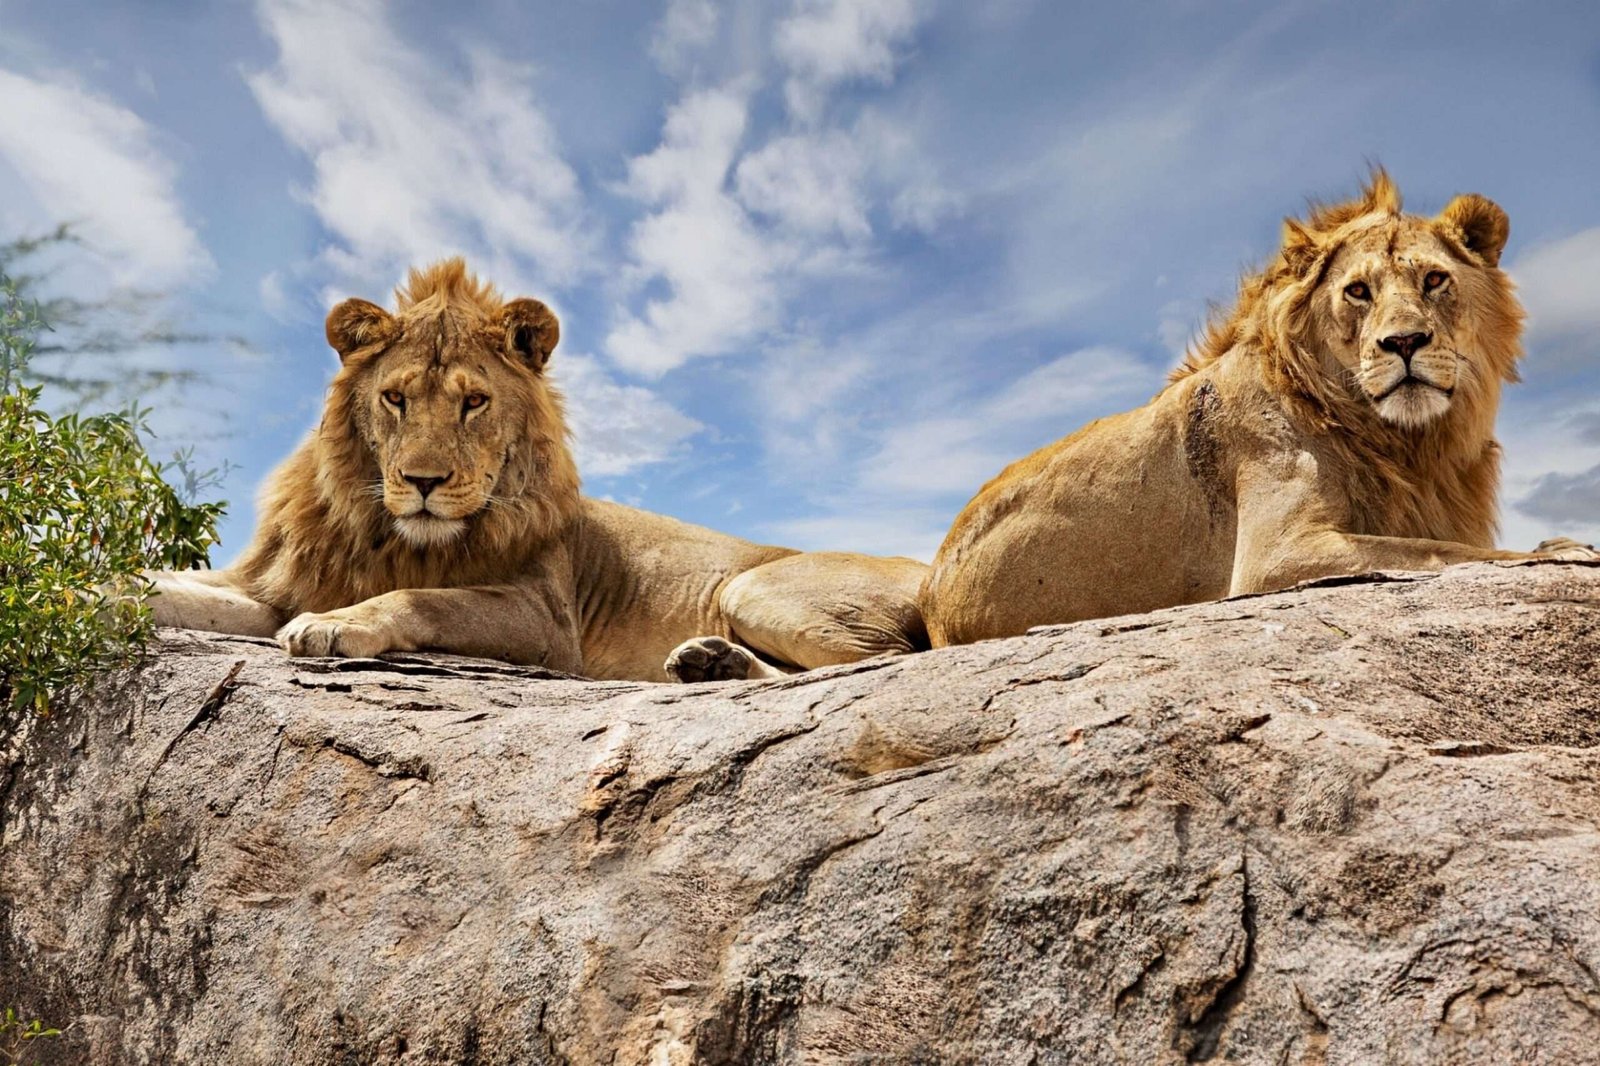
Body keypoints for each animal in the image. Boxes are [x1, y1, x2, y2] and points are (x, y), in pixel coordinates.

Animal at [152, 257, 928, 681]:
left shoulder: (547, 620)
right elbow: (178, 589)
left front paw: (335, 626)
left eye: (474, 403)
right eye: (395, 398)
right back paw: (712, 663)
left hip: (754, 586)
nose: (424, 484)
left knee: (884, 660)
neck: (382, 530)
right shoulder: (272, 585)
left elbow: (422, 599)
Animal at [921, 170, 1593, 643]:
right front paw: (1567, 550)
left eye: (1433, 280)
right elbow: (1447, 554)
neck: (1410, 443)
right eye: (1358, 291)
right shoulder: (1276, 554)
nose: (1403, 342)